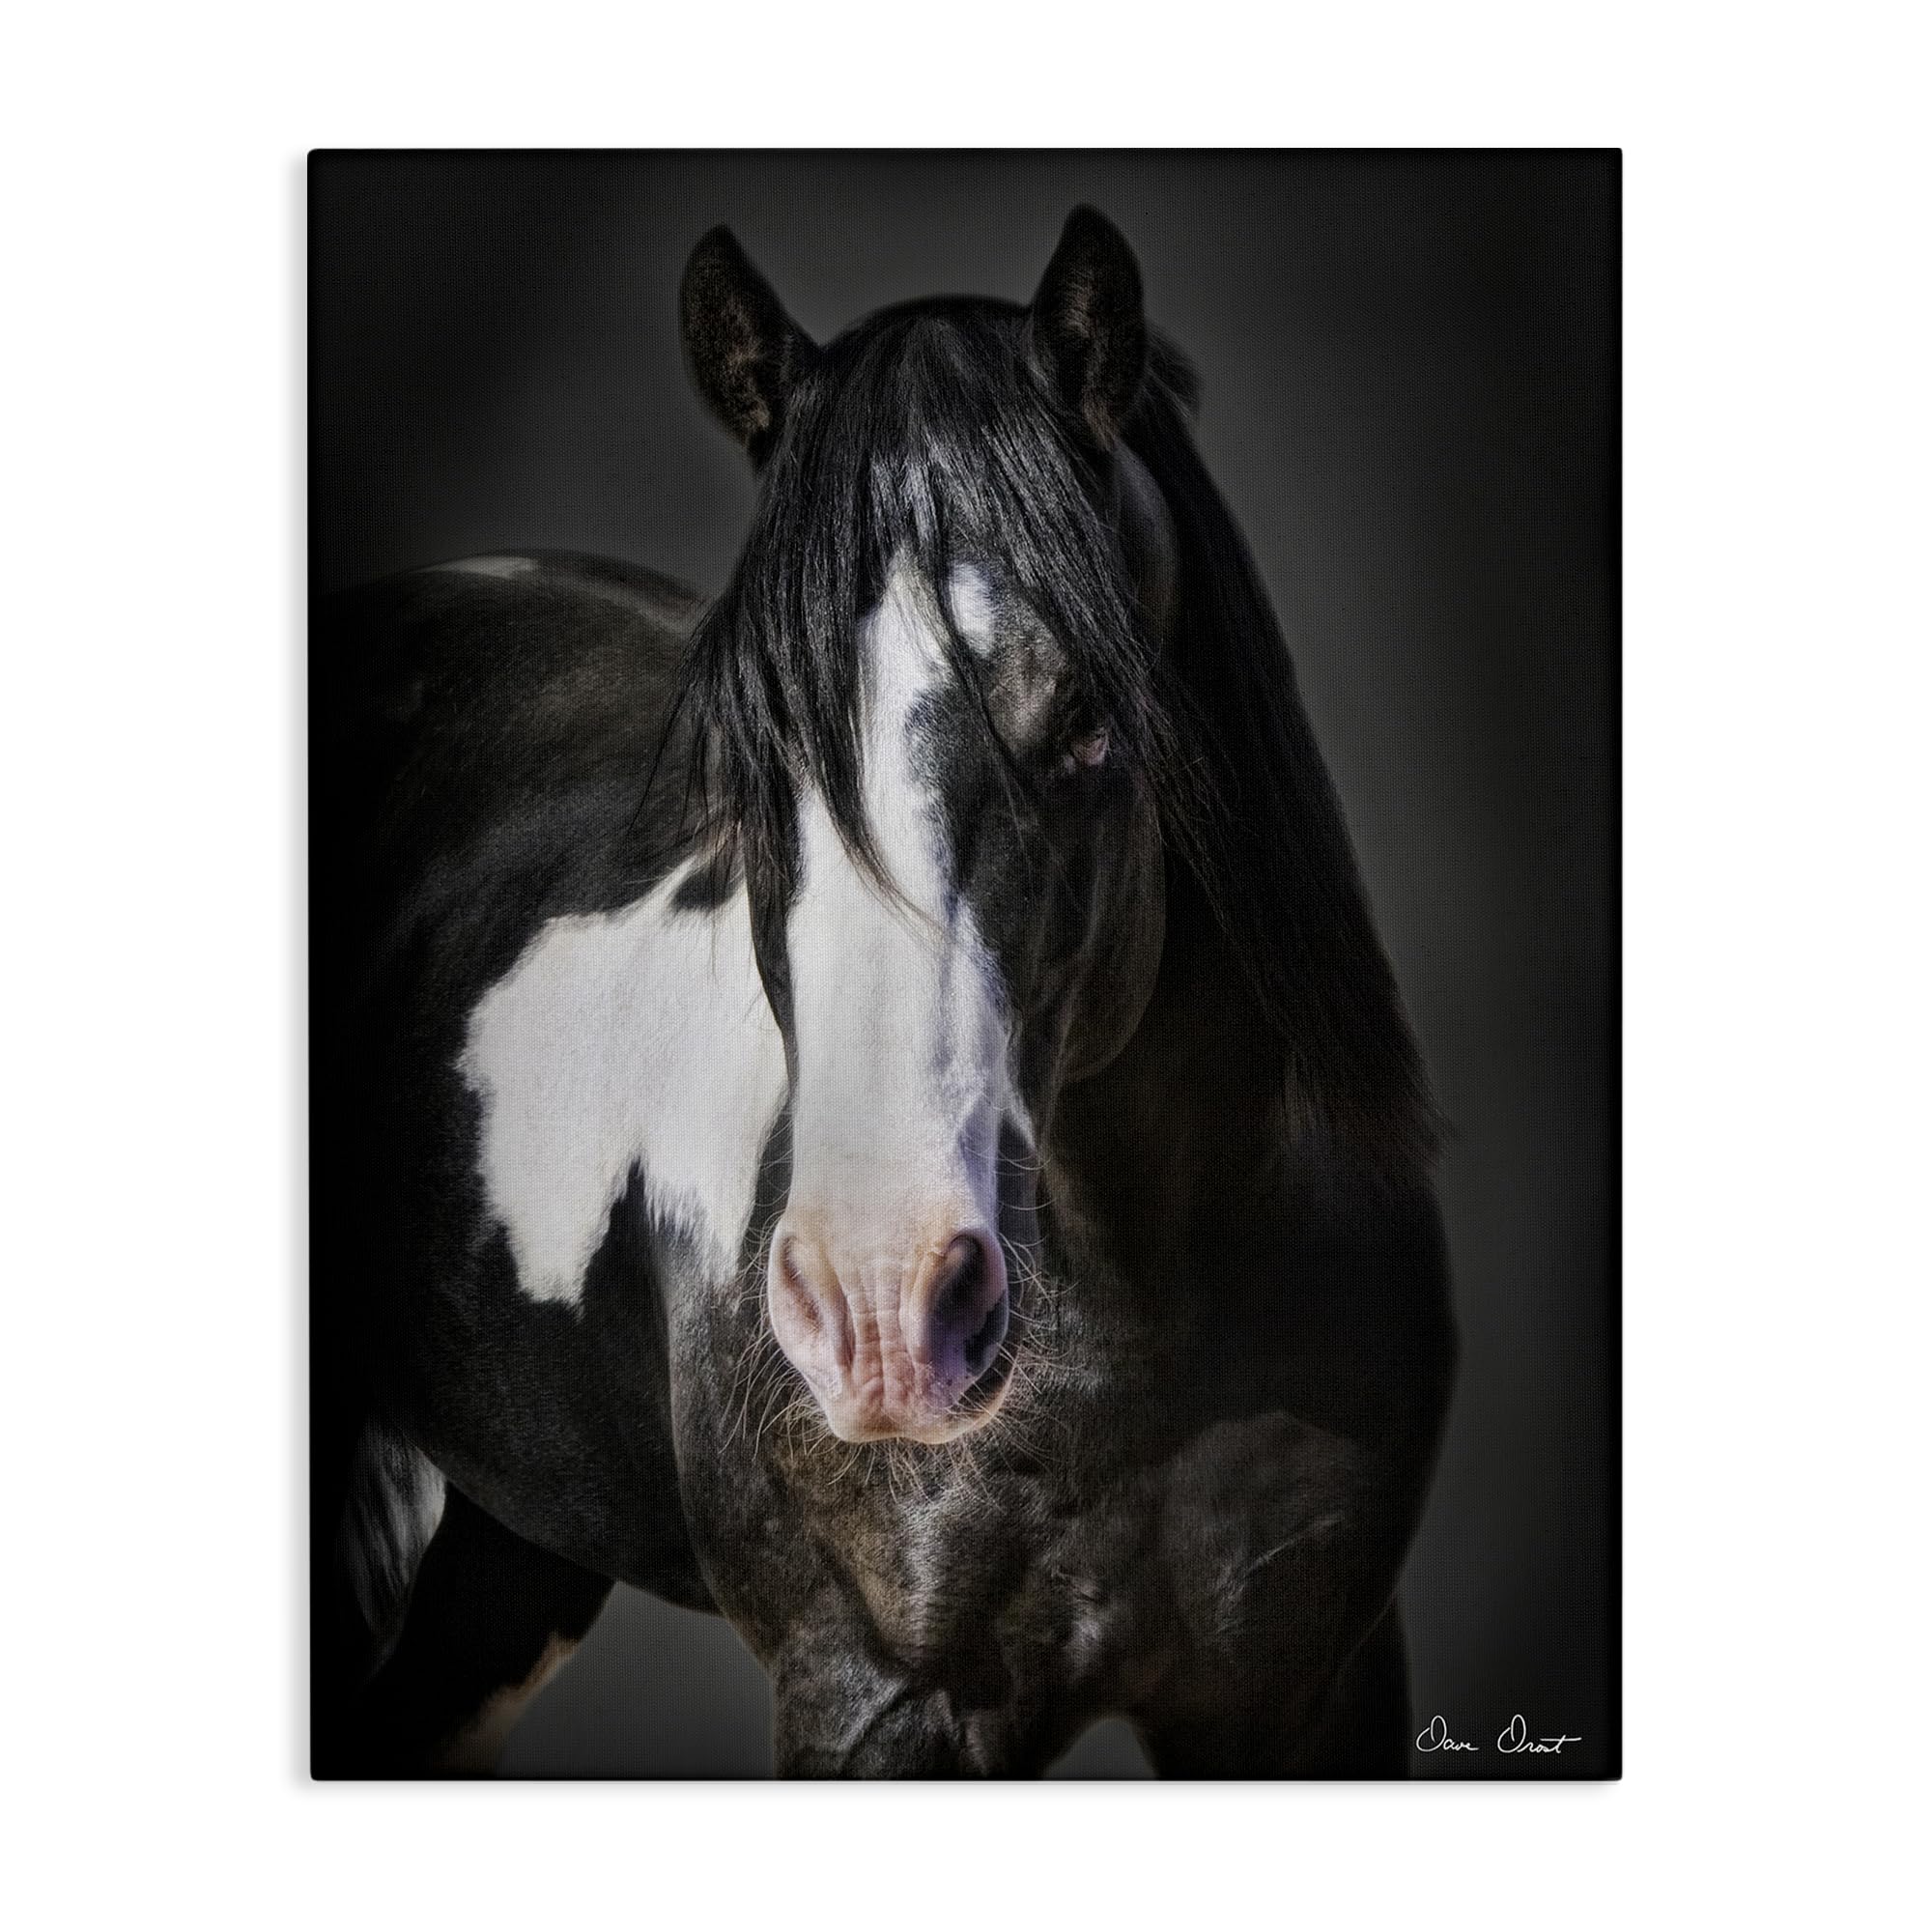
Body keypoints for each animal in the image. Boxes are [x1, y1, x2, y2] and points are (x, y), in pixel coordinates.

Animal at [311, 206, 1457, 1777]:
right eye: (747, 744)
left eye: (1086, 718)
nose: (880, 1309)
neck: (1156, 1314)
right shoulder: (877, 1706)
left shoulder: (1302, 1692)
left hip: (505, 1544)